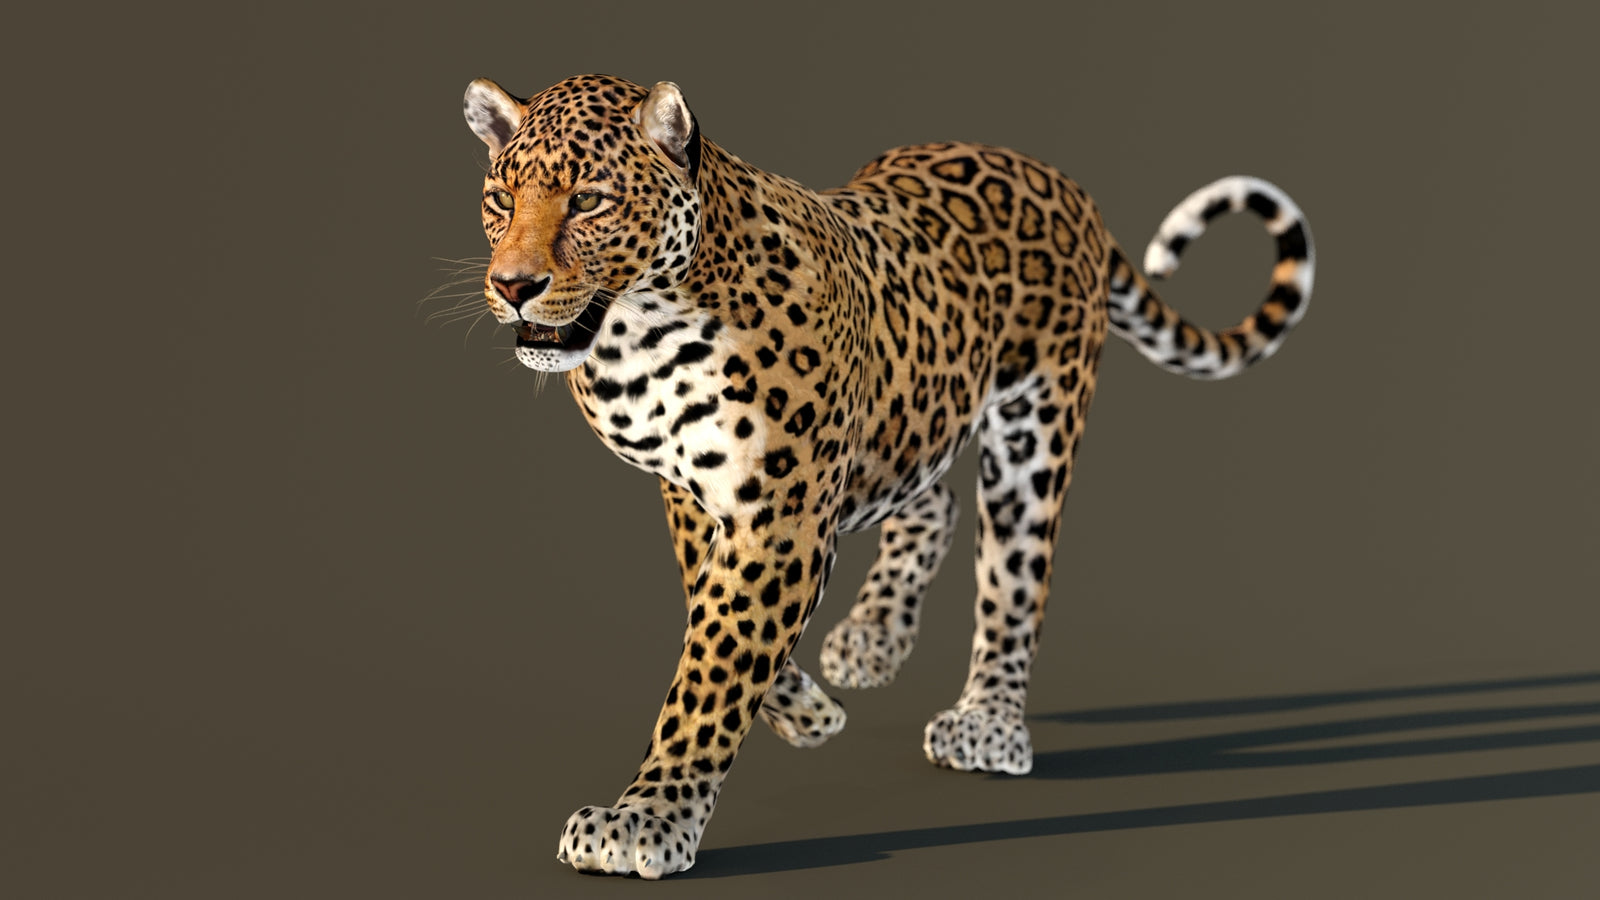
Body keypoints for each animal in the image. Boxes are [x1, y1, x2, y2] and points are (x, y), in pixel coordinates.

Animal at [456, 73, 1314, 878]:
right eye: (501, 199)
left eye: (589, 200)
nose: (513, 287)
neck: (639, 338)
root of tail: (1062, 180)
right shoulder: (696, 492)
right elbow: (716, 614)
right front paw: (809, 713)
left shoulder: (783, 510)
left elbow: (715, 665)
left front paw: (646, 819)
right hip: (910, 411)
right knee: (932, 499)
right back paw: (871, 640)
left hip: (1035, 430)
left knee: (1014, 580)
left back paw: (987, 724)